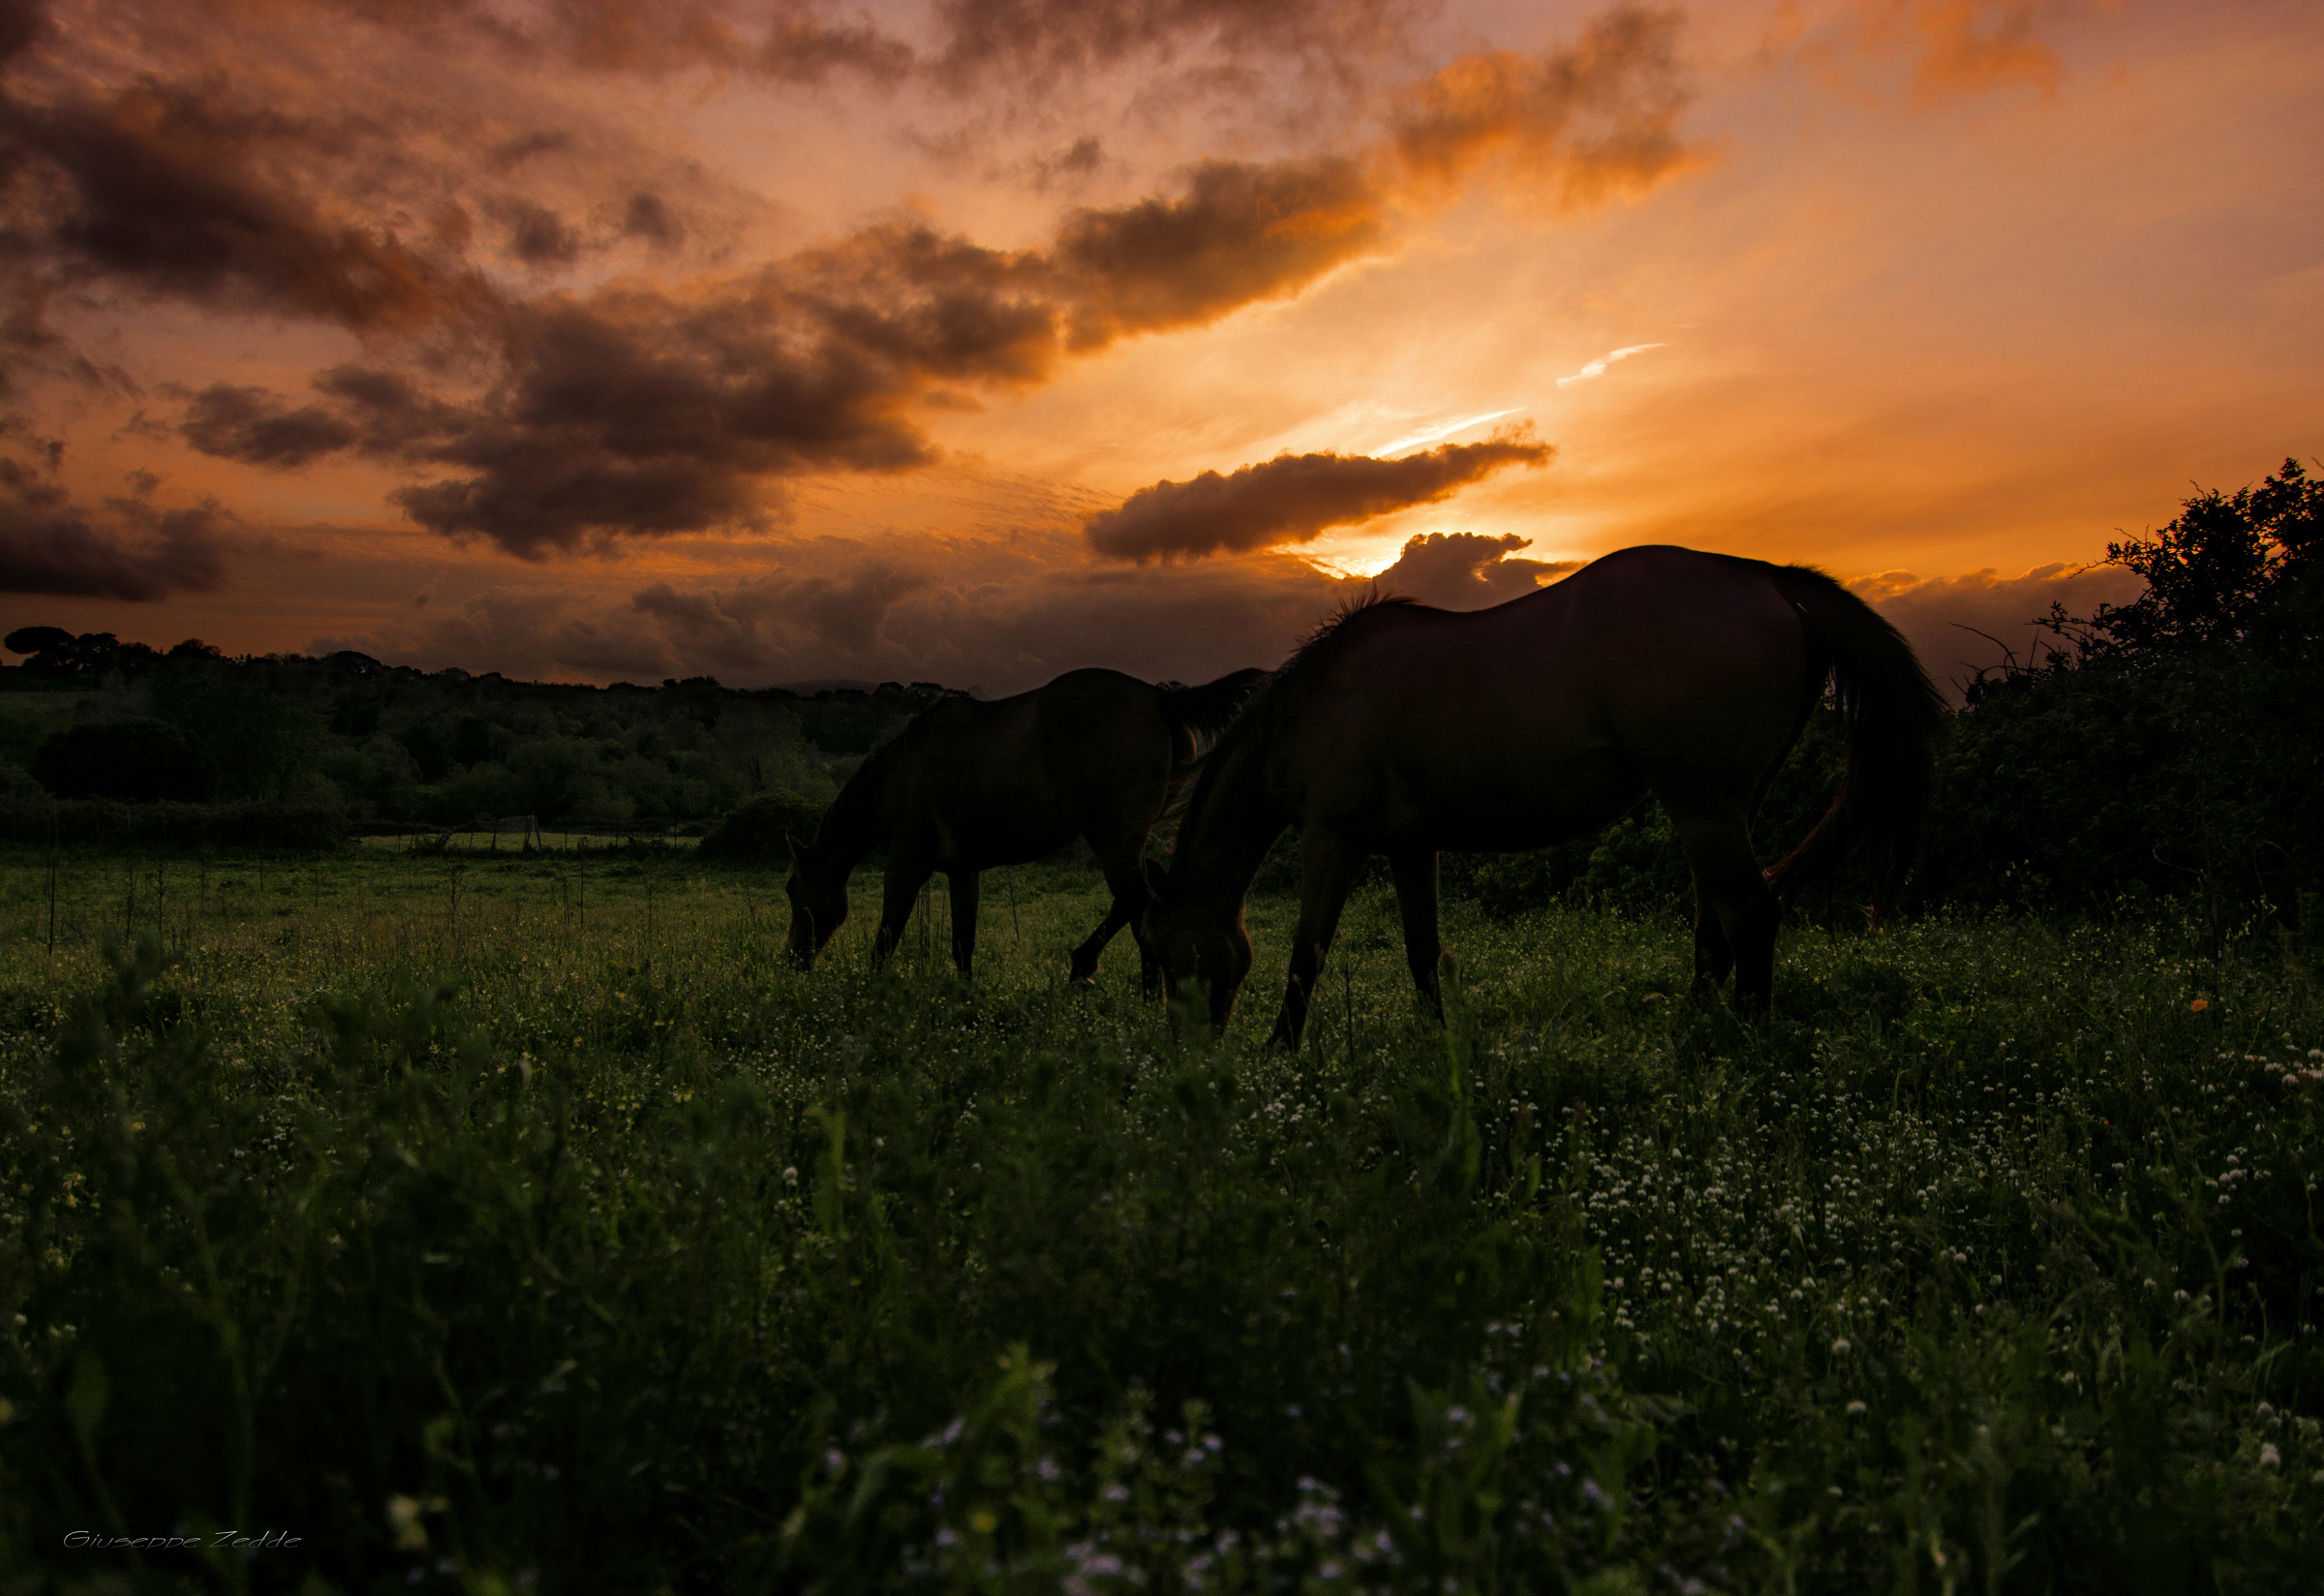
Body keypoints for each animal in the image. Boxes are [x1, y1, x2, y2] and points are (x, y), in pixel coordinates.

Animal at [784, 666, 1266, 984]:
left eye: (792, 890)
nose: (791, 961)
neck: (898, 777)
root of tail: (1160, 698)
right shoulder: (964, 870)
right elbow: (962, 944)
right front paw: (964, 1003)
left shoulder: (905, 867)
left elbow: (885, 941)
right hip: (1126, 840)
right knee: (1138, 900)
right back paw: (1083, 967)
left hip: (1114, 839)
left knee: (1141, 908)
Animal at [1145, 545, 1945, 1046]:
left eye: (1172, 961)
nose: (1186, 1059)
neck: (1314, 708)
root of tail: (1771, 579)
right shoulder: (1411, 847)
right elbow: (1421, 953)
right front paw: (1439, 1049)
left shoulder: (1331, 839)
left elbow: (1307, 953)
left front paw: (1280, 1051)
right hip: (1720, 808)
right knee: (1714, 924)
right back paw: (1691, 1031)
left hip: (1703, 804)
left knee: (1750, 915)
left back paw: (1741, 1048)